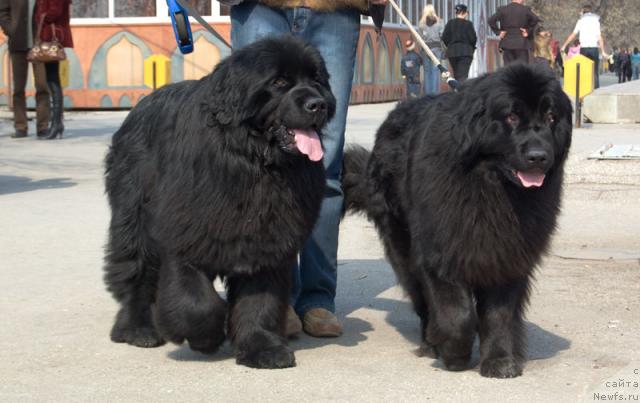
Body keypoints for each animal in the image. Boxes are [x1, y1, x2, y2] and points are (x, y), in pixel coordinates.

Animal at [101, 37, 336, 370]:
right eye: (279, 82)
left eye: (317, 80)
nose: (319, 104)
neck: (255, 162)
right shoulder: (186, 234)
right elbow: (196, 303)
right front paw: (205, 338)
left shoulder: (267, 242)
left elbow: (259, 301)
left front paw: (262, 349)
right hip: (133, 218)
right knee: (135, 270)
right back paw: (137, 329)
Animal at [342, 65, 572, 378]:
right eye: (511, 117)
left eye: (551, 118)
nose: (538, 156)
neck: (491, 189)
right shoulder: (442, 251)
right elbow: (458, 314)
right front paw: (455, 355)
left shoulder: (507, 255)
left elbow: (499, 314)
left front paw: (499, 360)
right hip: (403, 246)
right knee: (423, 300)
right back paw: (430, 343)